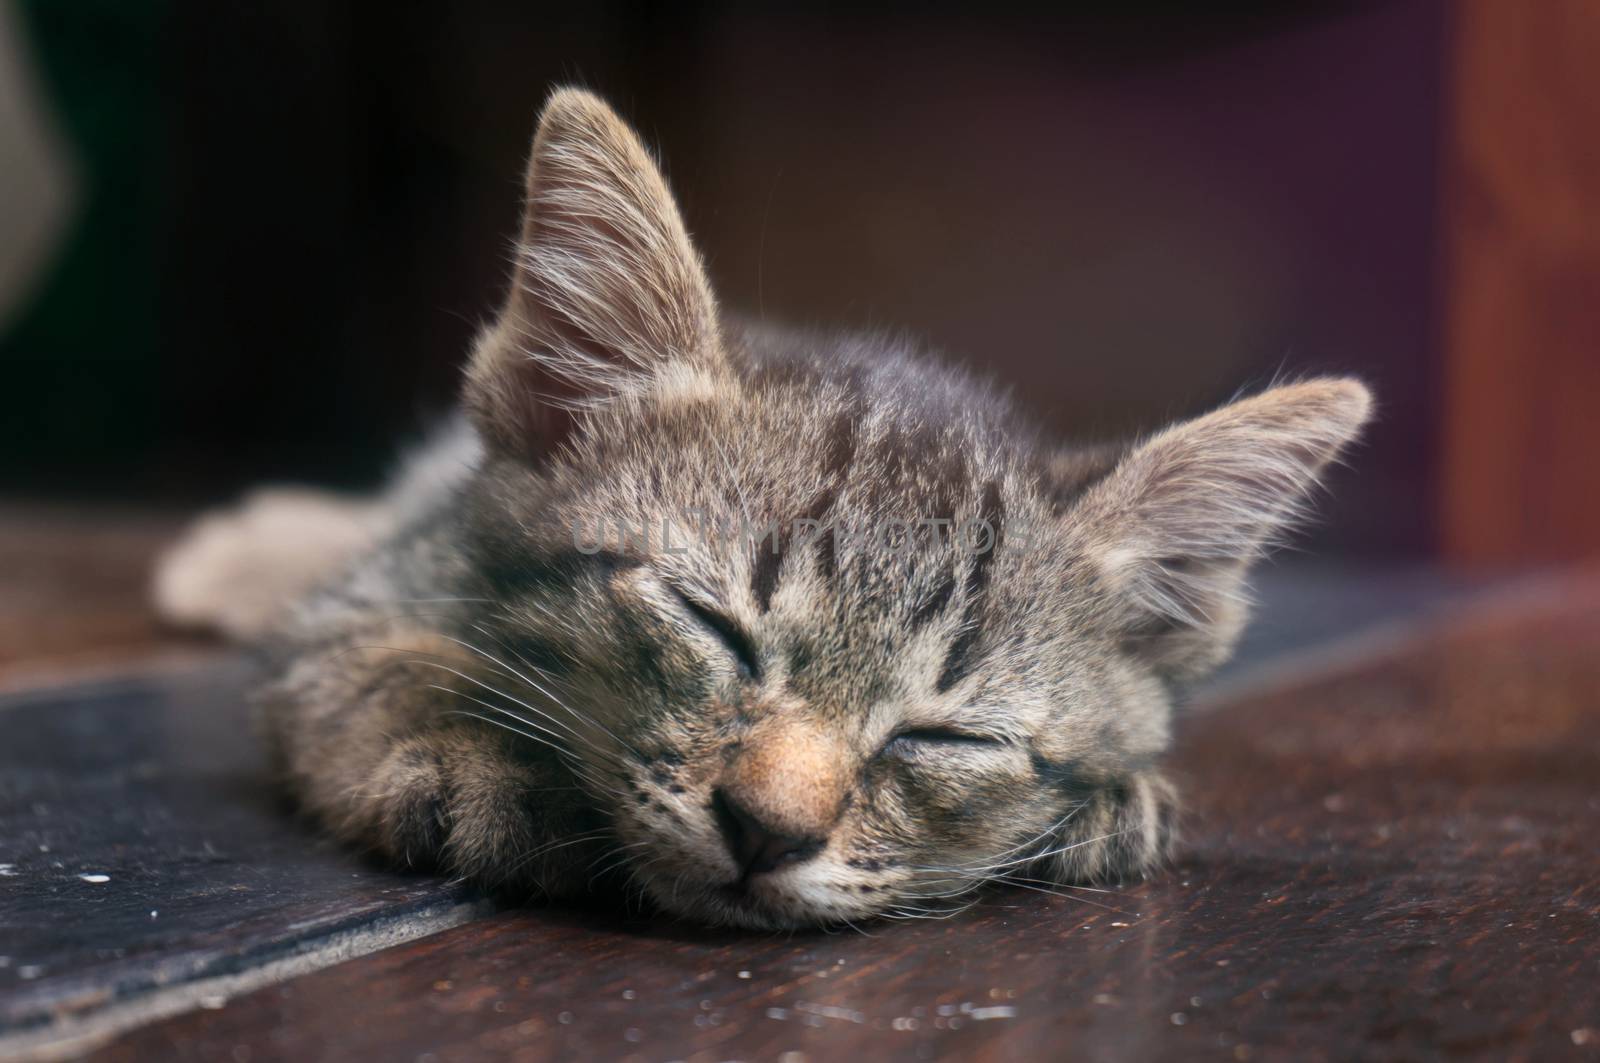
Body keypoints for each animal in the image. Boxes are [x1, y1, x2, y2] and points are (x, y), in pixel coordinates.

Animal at [156, 87, 1369, 928]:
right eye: (712, 625)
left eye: (944, 735)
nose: (766, 830)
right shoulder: (371, 594)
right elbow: (364, 656)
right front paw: (473, 745)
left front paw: (1115, 802)